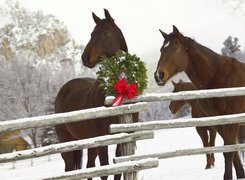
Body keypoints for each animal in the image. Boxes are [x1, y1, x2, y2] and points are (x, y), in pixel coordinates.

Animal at [54, 8, 135, 180]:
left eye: (106, 32)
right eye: (92, 34)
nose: (85, 58)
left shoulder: (122, 137)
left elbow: (118, 169)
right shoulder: (102, 140)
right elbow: (105, 169)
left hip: (89, 142)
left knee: (89, 167)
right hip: (67, 142)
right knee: (70, 169)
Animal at [155, 25, 245, 179]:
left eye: (175, 47)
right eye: (161, 49)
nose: (158, 75)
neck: (219, 77)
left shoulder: (231, 121)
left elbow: (228, 152)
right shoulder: (218, 123)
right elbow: (232, 151)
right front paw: (240, 174)